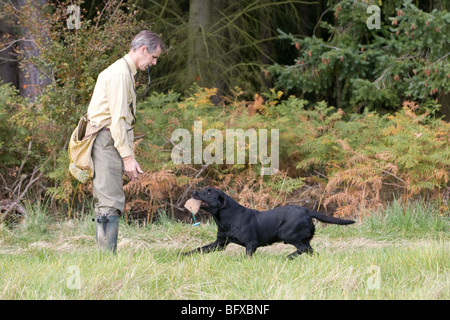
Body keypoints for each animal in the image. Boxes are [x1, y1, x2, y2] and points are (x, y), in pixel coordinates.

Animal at [184, 188, 356, 258]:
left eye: (208, 192)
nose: (193, 192)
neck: (228, 218)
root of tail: (307, 210)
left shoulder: (251, 244)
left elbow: (247, 256)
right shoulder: (220, 243)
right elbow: (199, 249)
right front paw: (183, 255)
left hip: (287, 234)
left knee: (303, 248)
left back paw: (287, 257)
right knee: (311, 250)